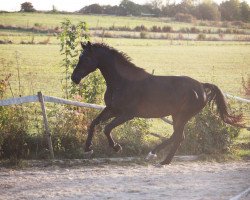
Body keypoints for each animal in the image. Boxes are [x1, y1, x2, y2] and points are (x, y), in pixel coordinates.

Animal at [71, 41, 243, 165]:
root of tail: (201, 86)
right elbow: (94, 123)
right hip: (177, 116)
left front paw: (116, 147)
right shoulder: (112, 109)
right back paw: (162, 159)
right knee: (179, 137)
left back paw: (155, 156)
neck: (123, 81)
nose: (74, 78)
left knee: (178, 136)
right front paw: (88, 149)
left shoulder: (127, 114)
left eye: (85, 58)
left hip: (182, 116)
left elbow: (106, 128)